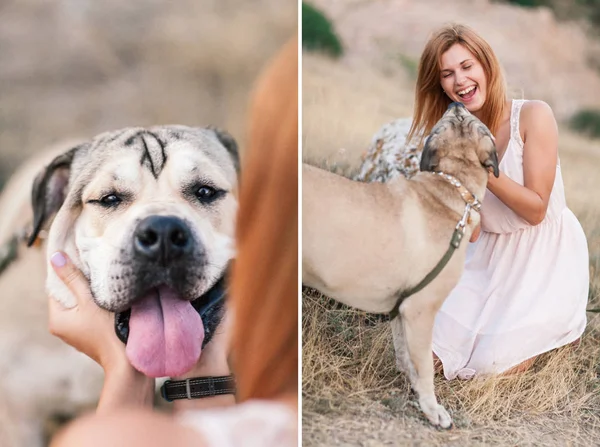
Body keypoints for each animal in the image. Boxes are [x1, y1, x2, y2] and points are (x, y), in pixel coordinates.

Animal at [302, 103, 500, 428]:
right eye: (463, 118)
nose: (456, 103)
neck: (451, 186)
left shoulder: (401, 308)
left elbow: (406, 354)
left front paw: (413, 386)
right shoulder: (421, 310)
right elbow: (425, 365)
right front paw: (432, 409)